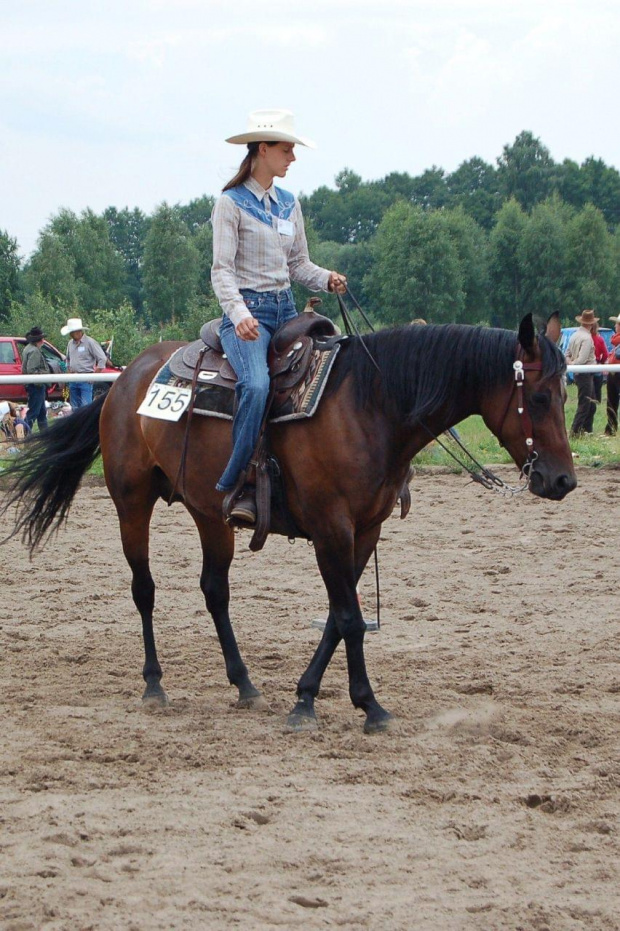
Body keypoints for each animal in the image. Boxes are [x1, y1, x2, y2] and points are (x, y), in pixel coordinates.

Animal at [3, 314, 576, 736]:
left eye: (566, 393)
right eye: (538, 397)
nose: (562, 480)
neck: (371, 404)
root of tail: (124, 380)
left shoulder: (365, 530)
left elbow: (339, 617)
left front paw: (305, 697)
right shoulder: (330, 528)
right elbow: (349, 618)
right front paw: (368, 707)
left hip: (209, 512)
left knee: (214, 590)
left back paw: (244, 685)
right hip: (131, 501)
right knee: (143, 589)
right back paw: (154, 684)